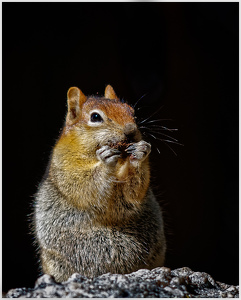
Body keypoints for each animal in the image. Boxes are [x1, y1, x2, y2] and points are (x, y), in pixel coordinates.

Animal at [33, 84, 166, 282]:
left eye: (132, 111)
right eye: (95, 117)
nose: (130, 131)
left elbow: (133, 193)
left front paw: (140, 153)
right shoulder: (67, 167)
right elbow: (86, 186)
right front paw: (105, 160)